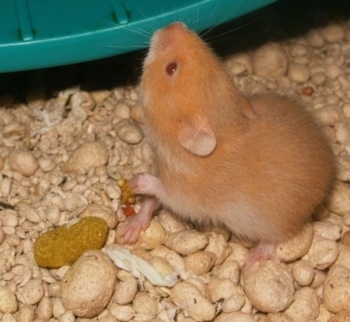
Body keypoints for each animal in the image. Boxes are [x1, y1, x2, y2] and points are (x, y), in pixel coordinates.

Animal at [120, 22, 334, 264]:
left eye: (171, 68)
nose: (173, 24)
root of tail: (329, 176)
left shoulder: (183, 196)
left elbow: (159, 191)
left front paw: (136, 180)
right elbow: (150, 202)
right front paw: (128, 232)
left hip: (268, 223)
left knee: (273, 240)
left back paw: (253, 260)